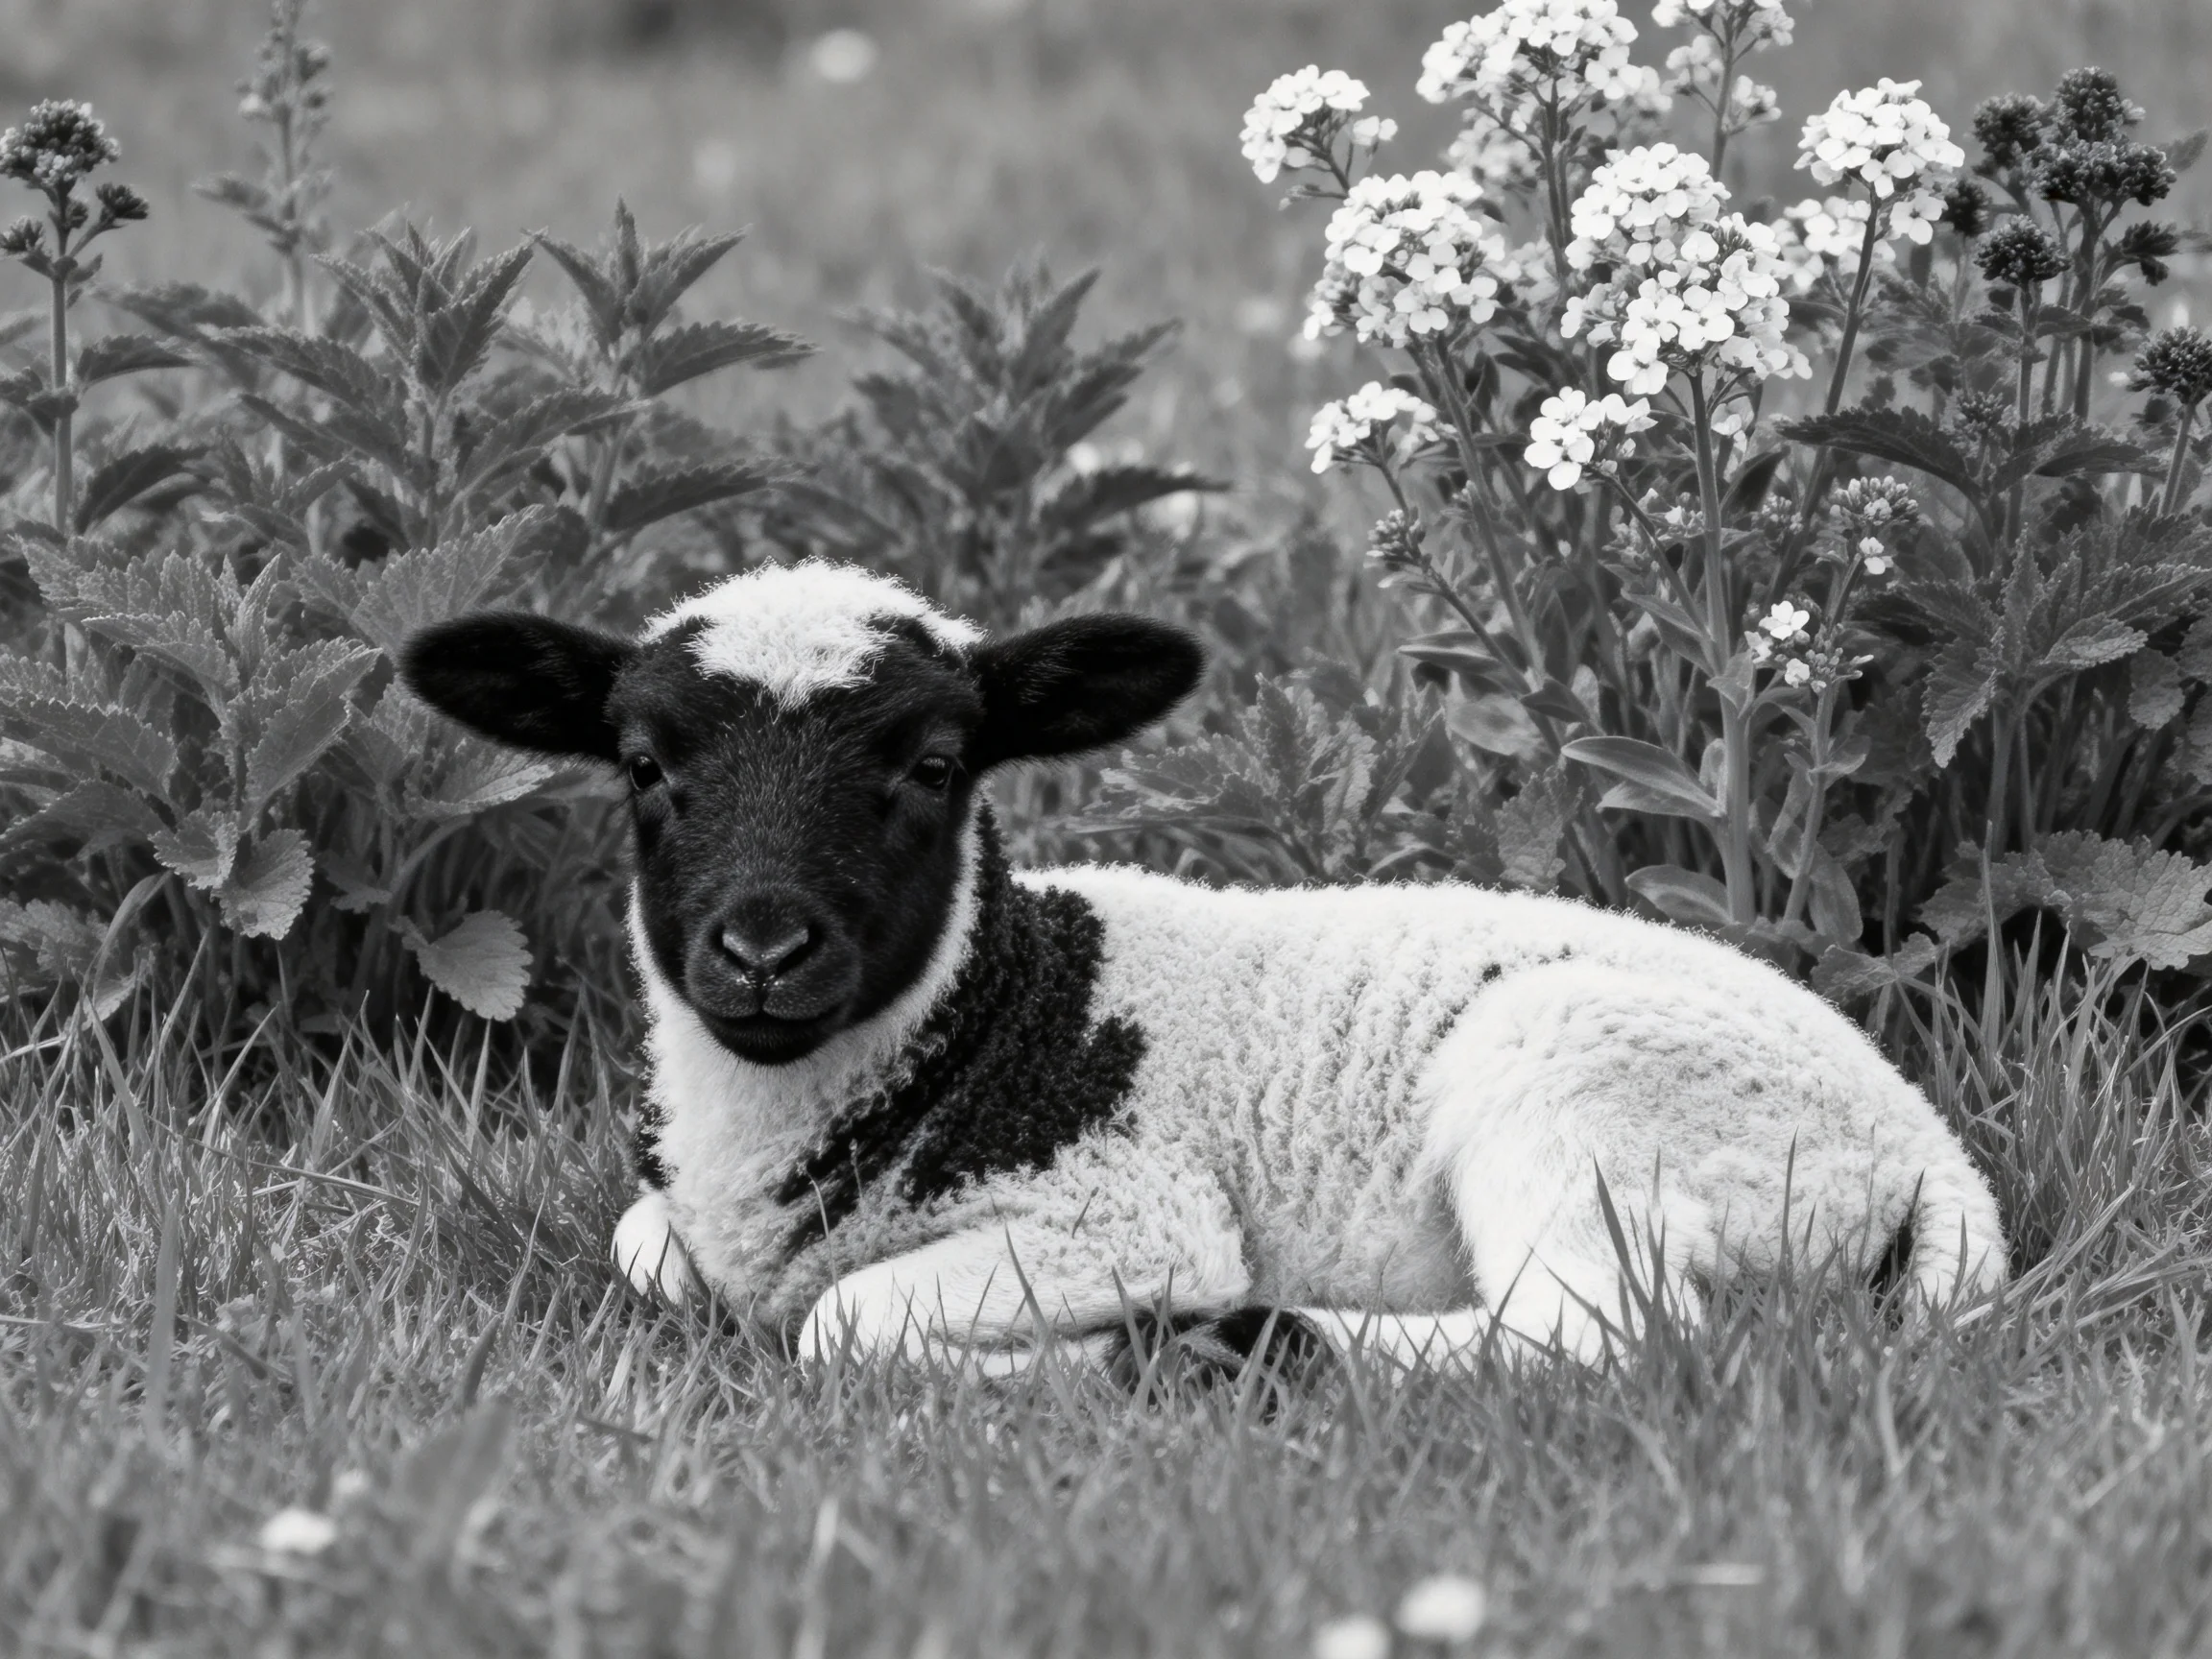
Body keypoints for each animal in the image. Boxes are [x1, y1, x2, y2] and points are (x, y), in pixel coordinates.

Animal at [400, 559, 2008, 1372]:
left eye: (934, 766)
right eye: (643, 766)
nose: (762, 950)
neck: (998, 1017)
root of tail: (1931, 1154)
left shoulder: (1126, 1215)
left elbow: (841, 1327)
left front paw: (1064, 1359)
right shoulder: (680, 1227)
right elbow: (644, 1249)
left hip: (1581, 1085)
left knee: (1595, 1334)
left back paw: (1227, 1348)